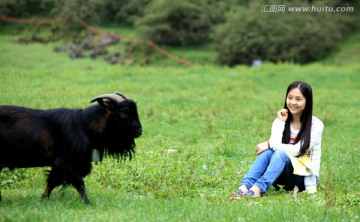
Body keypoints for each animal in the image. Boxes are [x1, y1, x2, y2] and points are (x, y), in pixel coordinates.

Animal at [0, 93, 143, 204]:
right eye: (124, 113)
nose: (139, 131)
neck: (83, 125)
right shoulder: (65, 162)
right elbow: (79, 183)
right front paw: (88, 203)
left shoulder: (59, 165)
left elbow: (52, 182)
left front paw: (42, 200)